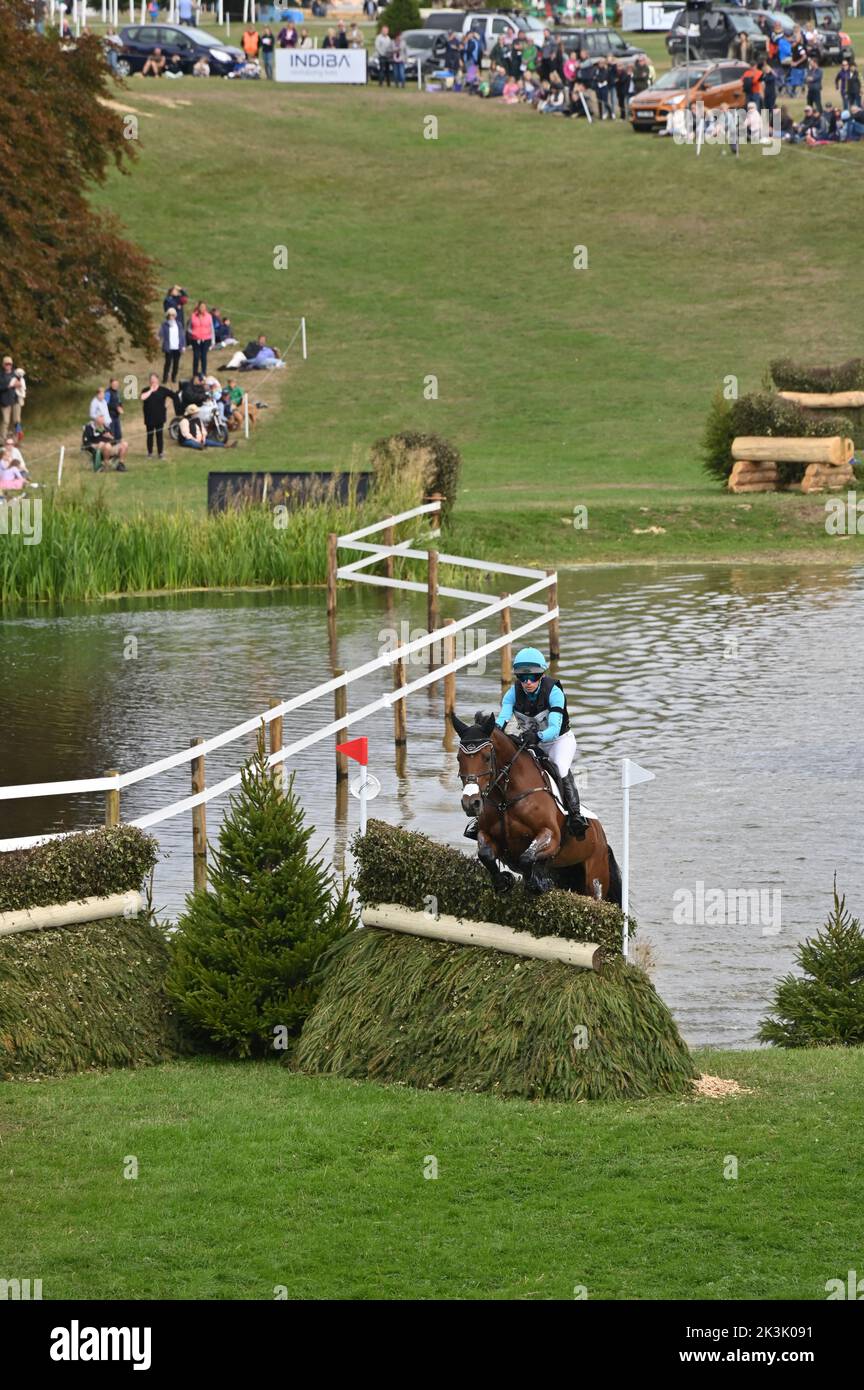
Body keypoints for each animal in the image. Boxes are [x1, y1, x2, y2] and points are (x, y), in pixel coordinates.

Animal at [452, 711, 622, 906]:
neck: (506, 797)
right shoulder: (487, 834)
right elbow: (485, 853)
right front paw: (504, 881)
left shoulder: (551, 835)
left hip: (594, 880)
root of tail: (603, 840)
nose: (470, 803)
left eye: (487, 757)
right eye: (459, 758)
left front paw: (536, 884)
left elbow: (527, 857)